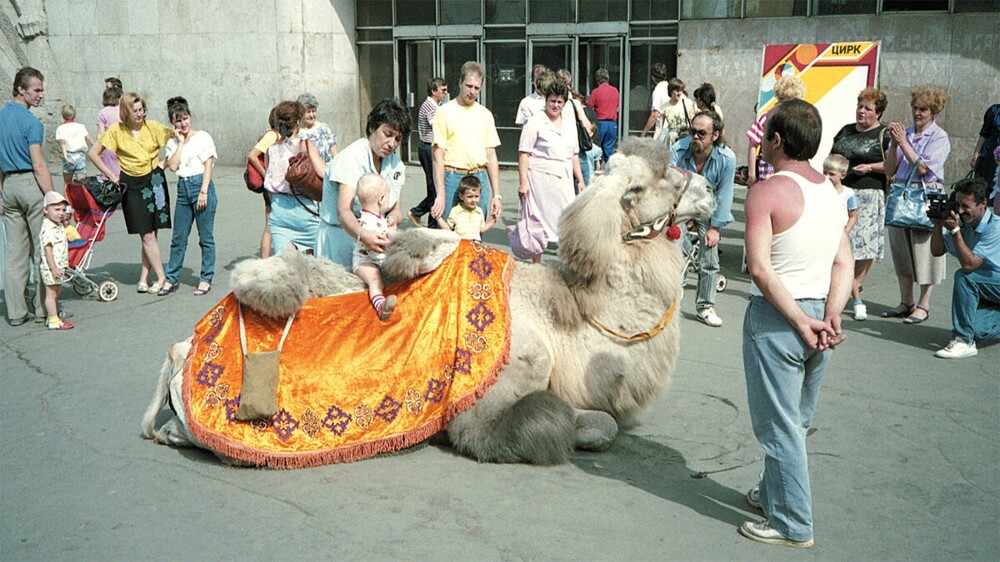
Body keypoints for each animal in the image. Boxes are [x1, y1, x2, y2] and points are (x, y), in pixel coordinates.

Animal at [143, 139, 720, 464]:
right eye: (656, 182)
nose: (710, 191)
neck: (571, 319)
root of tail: (184, 348)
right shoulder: (494, 396)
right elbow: (581, 425)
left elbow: (609, 422)